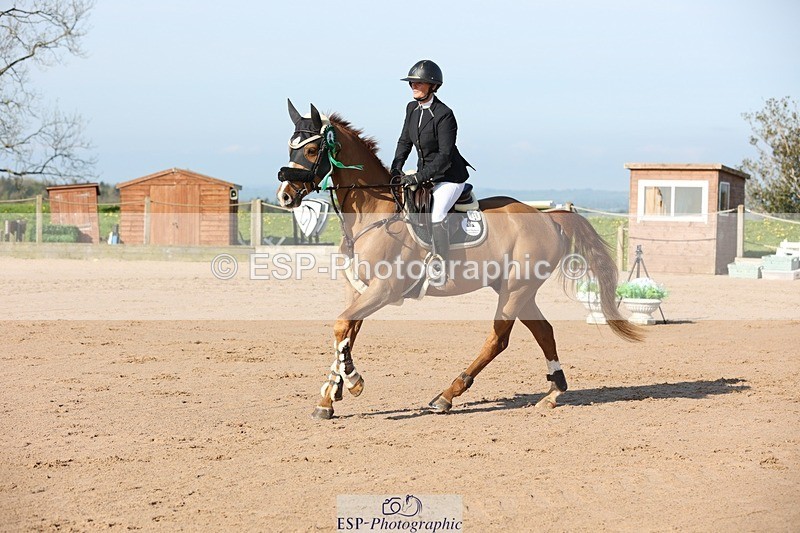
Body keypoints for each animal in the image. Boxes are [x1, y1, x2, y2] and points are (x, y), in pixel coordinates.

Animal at [277, 101, 642, 419]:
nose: (284, 195)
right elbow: (345, 333)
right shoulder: (358, 289)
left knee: (498, 339)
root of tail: (548, 218)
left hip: (515, 289)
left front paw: (352, 383)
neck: (373, 213)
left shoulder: (385, 289)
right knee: (544, 331)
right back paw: (553, 393)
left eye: (311, 151)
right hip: (516, 289)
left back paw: (447, 395)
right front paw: (329, 396)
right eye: (290, 149)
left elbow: (342, 326)